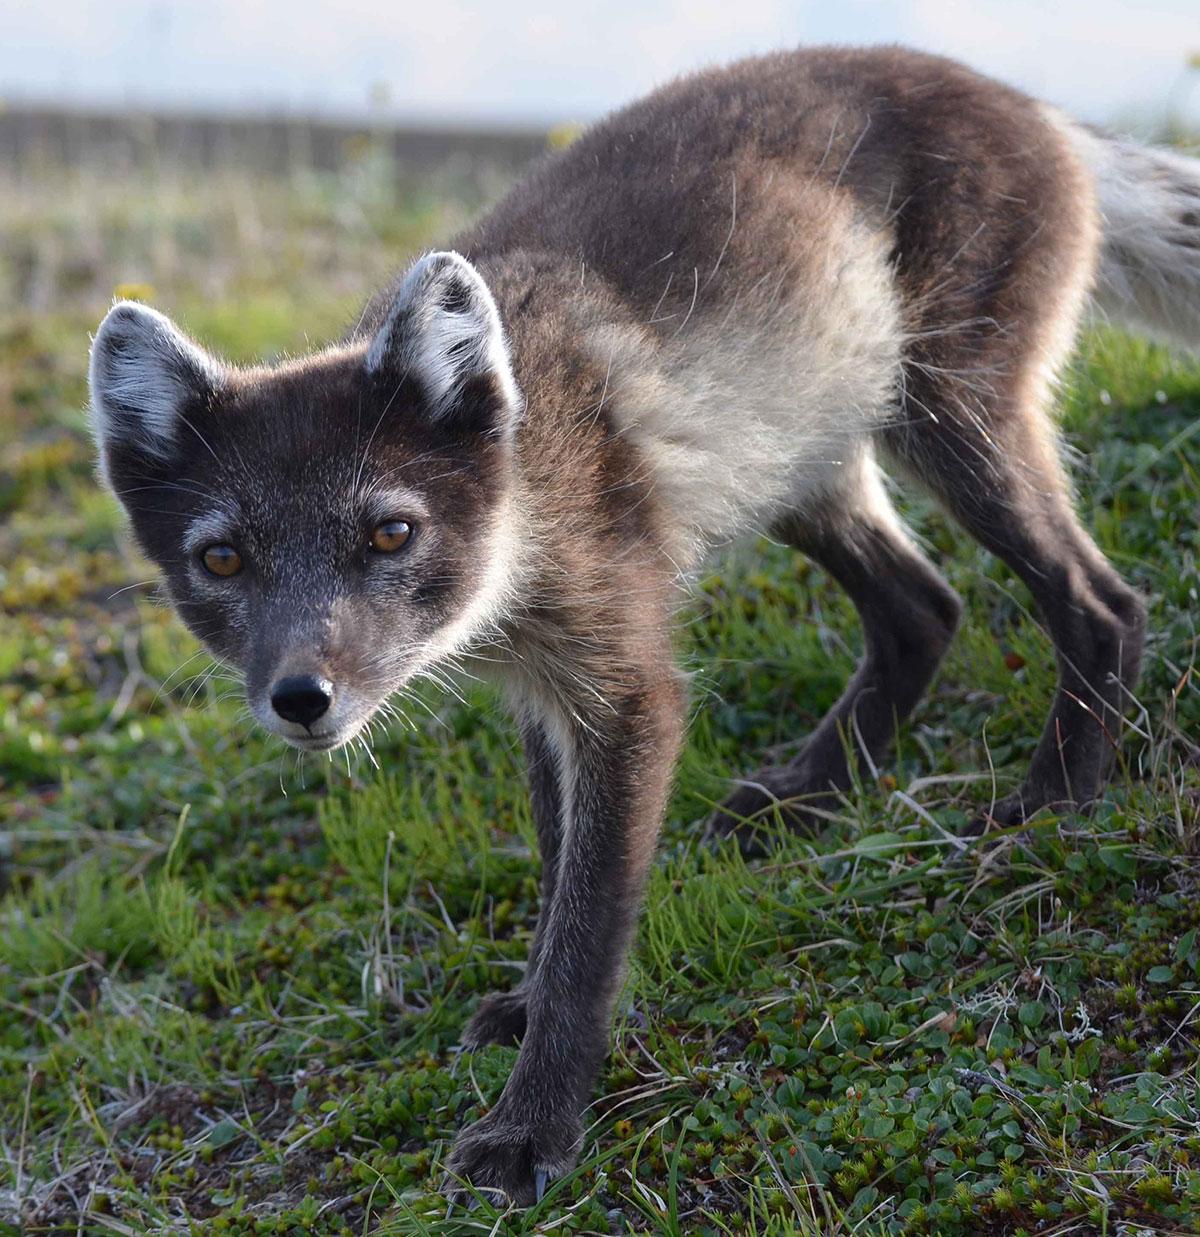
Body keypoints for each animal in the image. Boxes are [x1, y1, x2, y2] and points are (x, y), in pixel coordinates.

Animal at [89, 45, 1192, 1197]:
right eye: (221, 558)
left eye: (390, 534)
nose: (302, 699)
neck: (530, 482)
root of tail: (1030, 106)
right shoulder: (544, 694)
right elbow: (554, 872)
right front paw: (527, 1003)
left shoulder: (627, 691)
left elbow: (589, 921)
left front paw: (533, 1126)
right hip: (801, 457)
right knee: (926, 609)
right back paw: (803, 796)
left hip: (948, 413)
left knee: (1103, 604)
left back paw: (1055, 798)